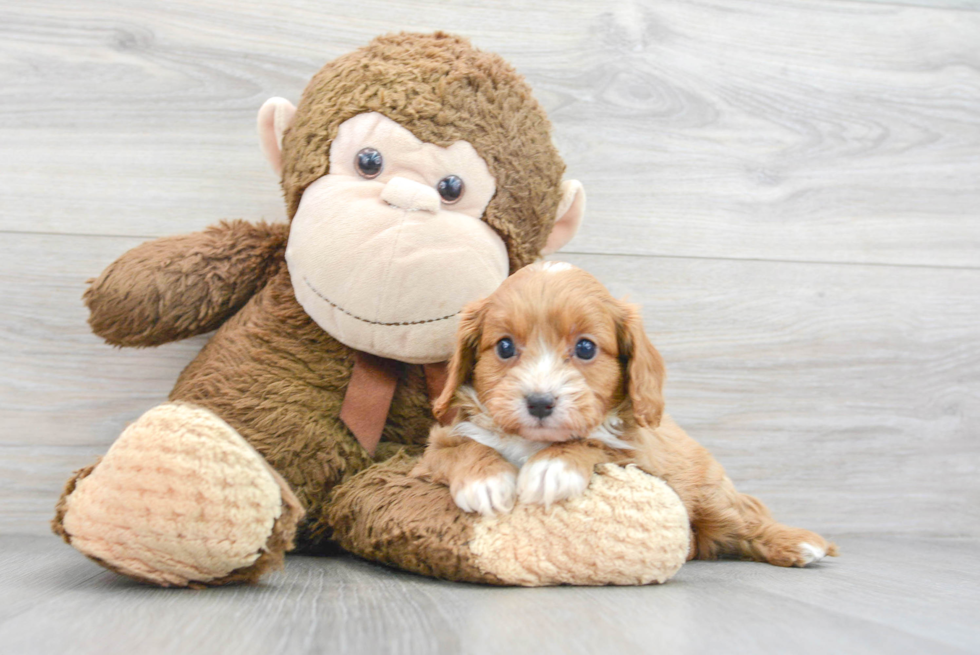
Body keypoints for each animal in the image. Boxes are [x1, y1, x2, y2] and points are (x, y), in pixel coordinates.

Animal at [410, 262, 840, 568]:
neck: (532, 442)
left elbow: (597, 442)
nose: (540, 403)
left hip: (712, 496)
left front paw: (553, 468)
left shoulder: (641, 458)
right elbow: (462, 448)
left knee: (746, 519)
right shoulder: (433, 451)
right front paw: (486, 480)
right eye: (504, 347)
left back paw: (801, 543)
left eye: (585, 348)